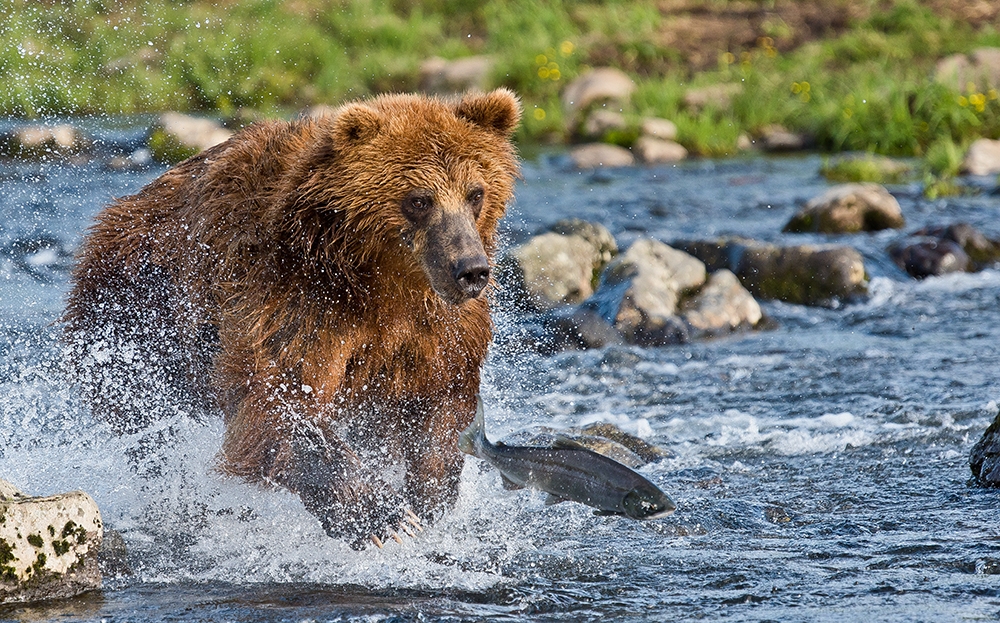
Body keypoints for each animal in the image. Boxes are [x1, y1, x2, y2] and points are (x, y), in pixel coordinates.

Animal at [62, 89, 522, 547]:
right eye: (419, 199)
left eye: (475, 193)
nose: (471, 269)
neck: (377, 283)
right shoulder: (293, 298)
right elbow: (278, 399)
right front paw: (380, 515)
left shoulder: (436, 328)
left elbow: (439, 402)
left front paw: (429, 498)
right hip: (132, 315)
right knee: (146, 420)